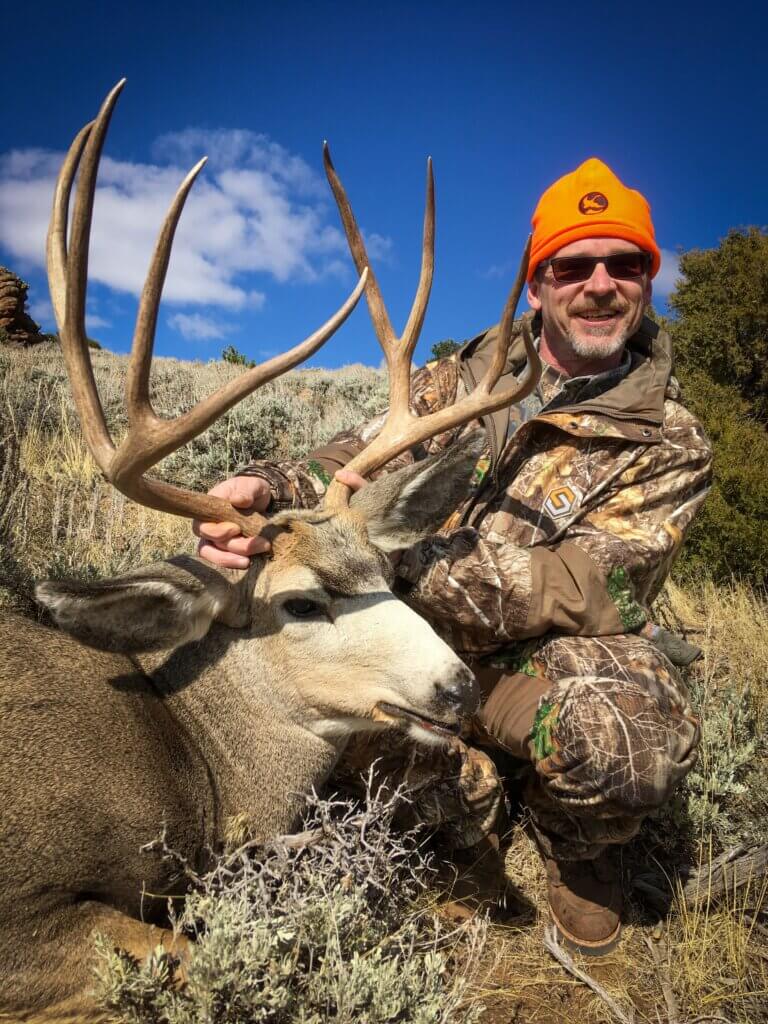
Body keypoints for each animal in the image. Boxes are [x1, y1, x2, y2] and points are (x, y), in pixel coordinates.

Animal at [0, 80, 540, 1022]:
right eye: (299, 601)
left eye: (390, 574)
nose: (458, 685)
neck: (194, 763)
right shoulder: (24, 909)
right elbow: (174, 957)